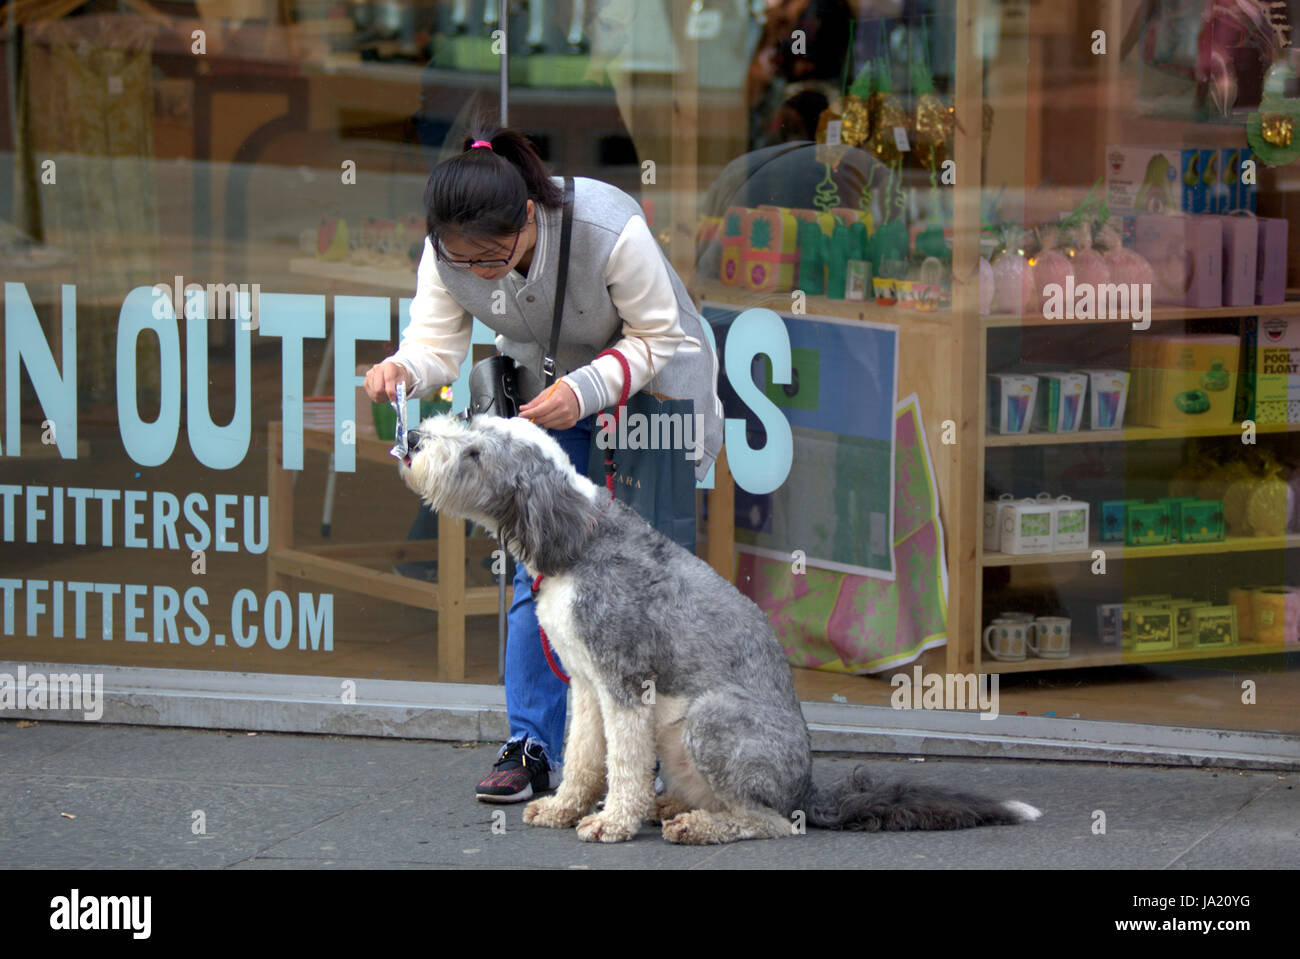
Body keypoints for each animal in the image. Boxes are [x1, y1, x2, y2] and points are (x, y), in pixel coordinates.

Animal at [400, 415, 1040, 842]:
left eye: (476, 452)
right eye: (470, 422)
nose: (414, 441)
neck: (577, 540)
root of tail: (806, 788)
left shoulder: (625, 685)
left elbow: (623, 762)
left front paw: (613, 821)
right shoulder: (584, 684)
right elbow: (582, 754)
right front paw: (565, 807)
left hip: (709, 719)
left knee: (771, 822)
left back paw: (697, 825)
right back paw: (671, 808)